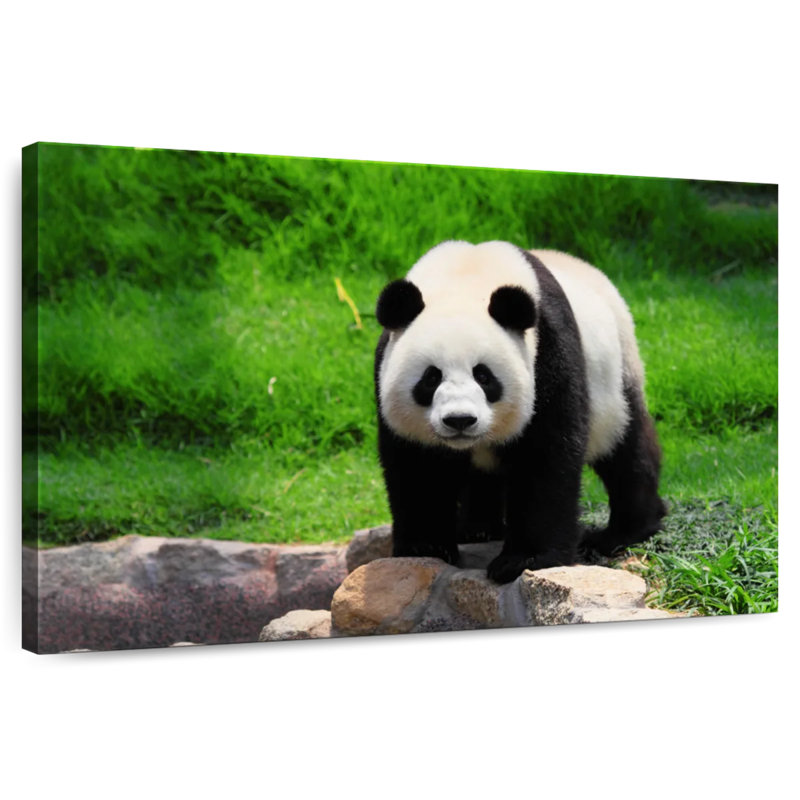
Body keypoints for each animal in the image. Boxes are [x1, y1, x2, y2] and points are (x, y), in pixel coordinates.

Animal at [374, 240, 666, 584]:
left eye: (484, 376)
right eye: (431, 378)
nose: (460, 420)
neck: (466, 277)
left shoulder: (548, 352)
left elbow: (544, 455)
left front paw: (523, 560)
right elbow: (420, 466)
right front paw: (426, 547)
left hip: (616, 377)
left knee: (626, 449)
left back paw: (624, 532)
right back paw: (477, 529)